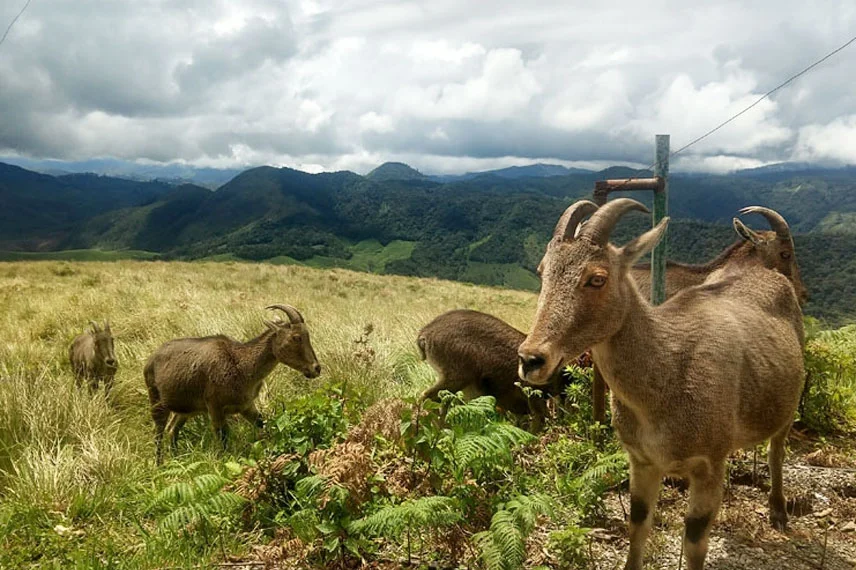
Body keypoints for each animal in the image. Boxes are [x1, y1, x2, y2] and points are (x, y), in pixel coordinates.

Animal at [145, 302, 322, 462]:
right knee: (159, 433)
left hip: (185, 410)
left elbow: (263, 425)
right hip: (157, 401)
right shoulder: (215, 407)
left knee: (172, 429)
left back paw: (176, 459)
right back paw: (160, 465)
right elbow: (222, 438)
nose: (316, 368)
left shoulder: (246, 406)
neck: (240, 363)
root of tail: (150, 360)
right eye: (296, 337)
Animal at [520, 199, 804, 568]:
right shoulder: (642, 461)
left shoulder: (708, 464)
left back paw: (778, 511)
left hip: (789, 402)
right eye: (543, 271)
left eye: (597, 278)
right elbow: (639, 522)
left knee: (776, 451)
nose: (531, 359)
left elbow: (695, 542)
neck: (668, 377)